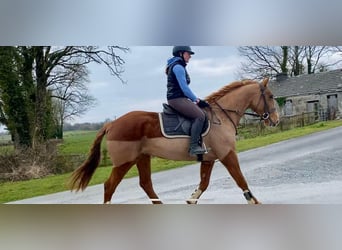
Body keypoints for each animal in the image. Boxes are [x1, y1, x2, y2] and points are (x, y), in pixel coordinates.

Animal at [69, 78, 278, 203]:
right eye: (270, 96)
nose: (275, 121)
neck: (221, 116)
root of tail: (112, 123)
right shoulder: (228, 155)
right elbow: (240, 179)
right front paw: (254, 201)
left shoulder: (209, 159)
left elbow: (204, 183)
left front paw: (191, 199)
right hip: (124, 162)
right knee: (109, 186)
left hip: (142, 158)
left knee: (146, 184)